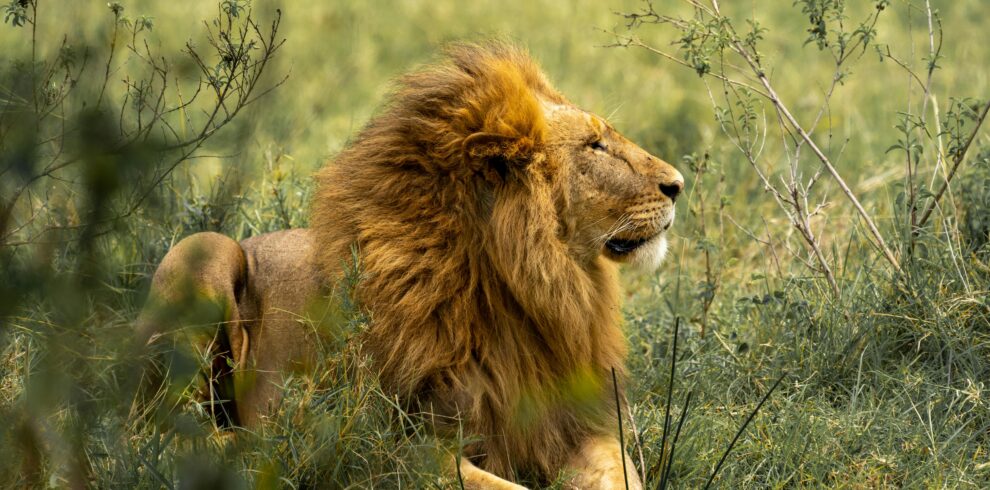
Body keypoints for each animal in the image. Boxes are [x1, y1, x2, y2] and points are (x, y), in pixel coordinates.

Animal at [138, 43, 683, 489]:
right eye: (595, 146)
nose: (679, 184)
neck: (526, 291)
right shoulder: (395, 447)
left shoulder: (580, 425)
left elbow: (621, 476)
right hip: (202, 250)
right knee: (158, 432)